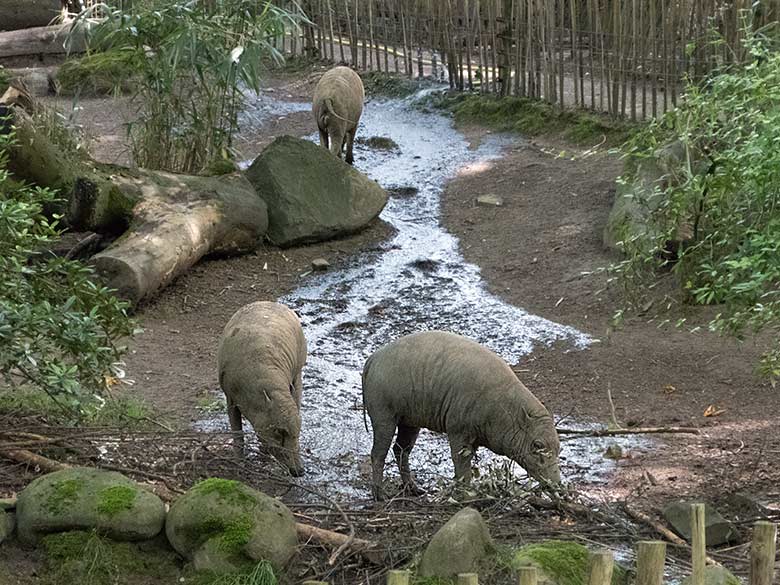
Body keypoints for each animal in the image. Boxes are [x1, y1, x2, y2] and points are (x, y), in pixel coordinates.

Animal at [219, 302, 308, 474]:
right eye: (279, 432)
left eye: (298, 432)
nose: (299, 471)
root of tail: (271, 303)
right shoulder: (230, 398)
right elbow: (237, 433)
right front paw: (239, 463)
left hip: (298, 372)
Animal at [362, 330, 560, 500]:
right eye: (537, 445)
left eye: (559, 448)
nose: (557, 485)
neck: (504, 409)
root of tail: (372, 358)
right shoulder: (458, 430)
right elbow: (461, 462)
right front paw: (466, 495)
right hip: (384, 415)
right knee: (378, 453)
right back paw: (379, 495)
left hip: (409, 421)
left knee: (401, 450)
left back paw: (413, 489)